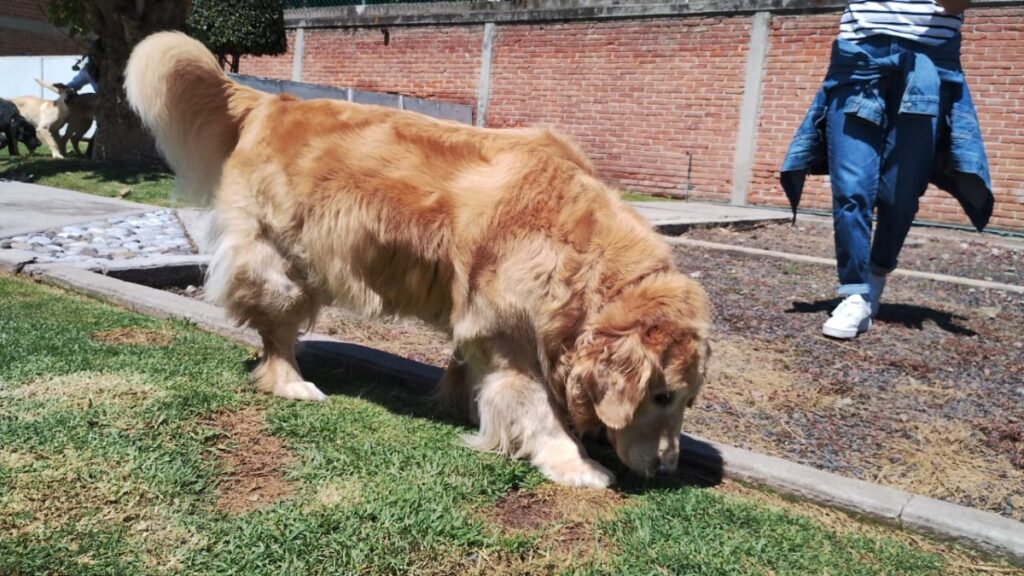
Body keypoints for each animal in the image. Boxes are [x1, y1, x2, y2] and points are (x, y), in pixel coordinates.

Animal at [123, 33, 708, 485]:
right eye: (661, 397)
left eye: (685, 400)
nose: (669, 470)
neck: (581, 249)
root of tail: (271, 101)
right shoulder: (509, 330)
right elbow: (535, 406)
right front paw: (575, 464)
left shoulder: (479, 313)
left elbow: (467, 363)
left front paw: (458, 400)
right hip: (281, 265)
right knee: (276, 332)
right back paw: (291, 382)